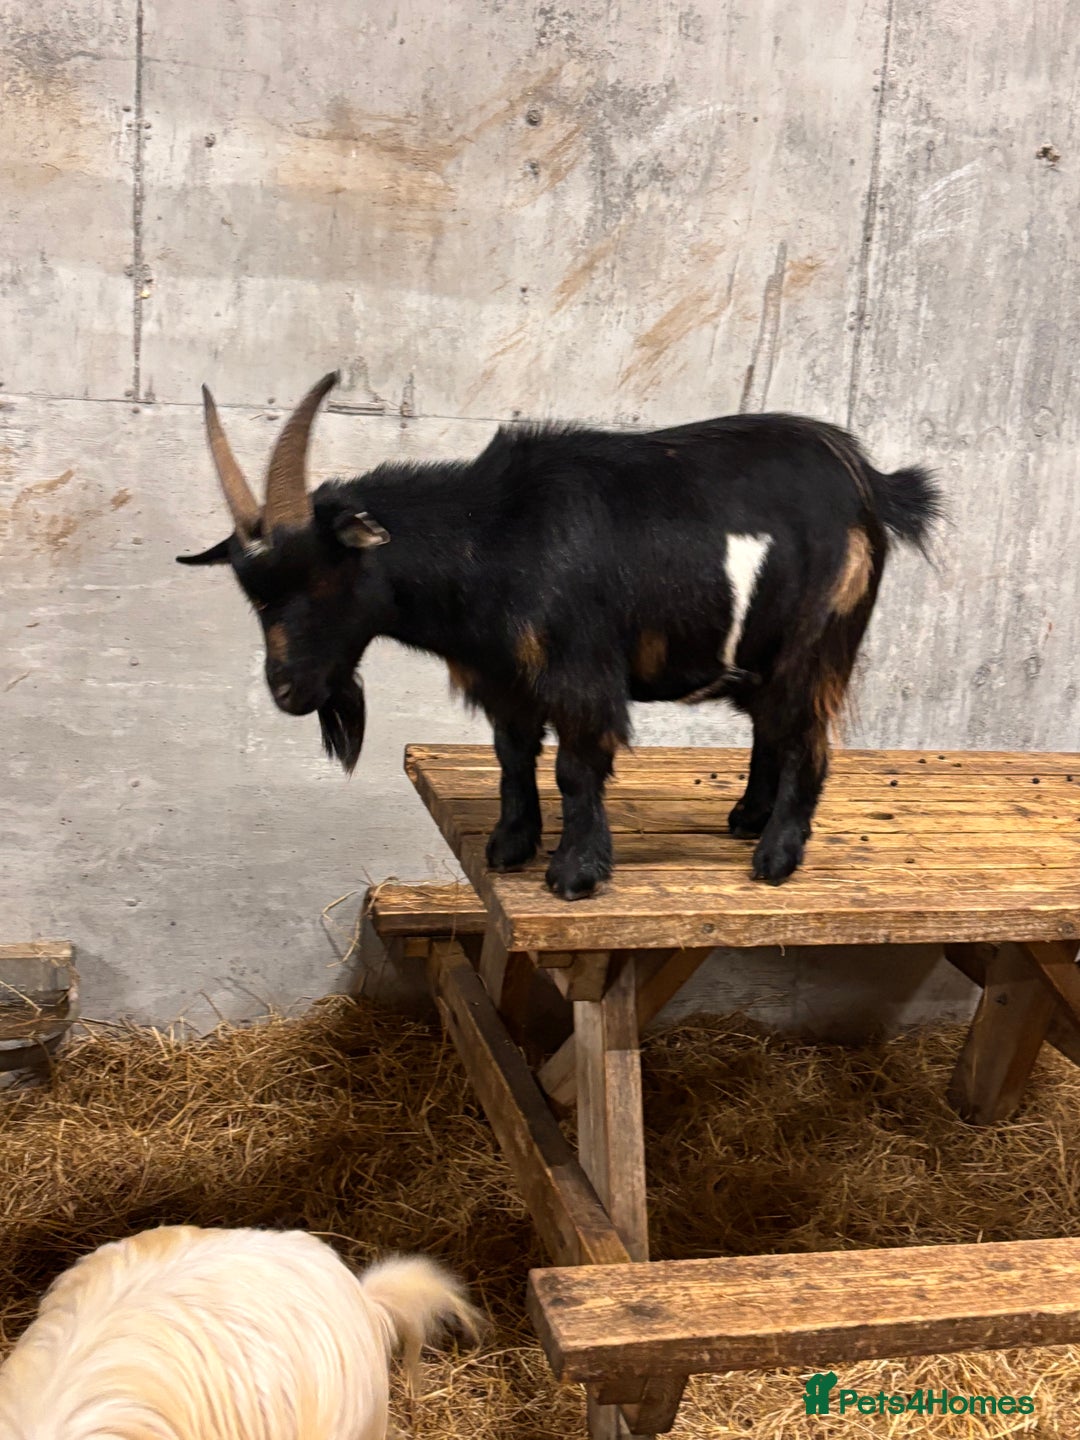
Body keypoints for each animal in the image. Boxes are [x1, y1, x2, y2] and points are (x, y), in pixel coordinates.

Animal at [177, 374, 940, 900]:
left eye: (321, 577)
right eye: (252, 591)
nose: (288, 691)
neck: (494, 536)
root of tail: (872, 485)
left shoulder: (580, 675)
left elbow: (575, 767)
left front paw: (575, 874)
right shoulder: (503, 677)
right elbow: (513, 756)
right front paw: (508, 847)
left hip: (818, 643)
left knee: (808, 736)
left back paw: (775, 859)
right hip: (758, 656)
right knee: (770, 727)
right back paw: (747, 818)